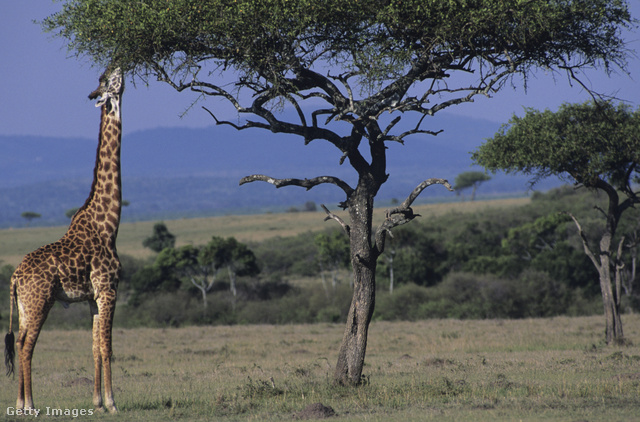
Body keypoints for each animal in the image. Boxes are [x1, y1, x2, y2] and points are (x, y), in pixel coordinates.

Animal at [3, 67, 124, 414]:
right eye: (109, 80)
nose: (121, 68)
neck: (109, 225)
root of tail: (15, 277)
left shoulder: (93, 297)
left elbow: (95, 346)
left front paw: (97, 402)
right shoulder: (109, 289)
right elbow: (108, 346)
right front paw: (112, 403)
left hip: (24, 304)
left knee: (18, 341)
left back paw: (21, 403)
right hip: (40, 301)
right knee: (26, 345)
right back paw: (29, 405)